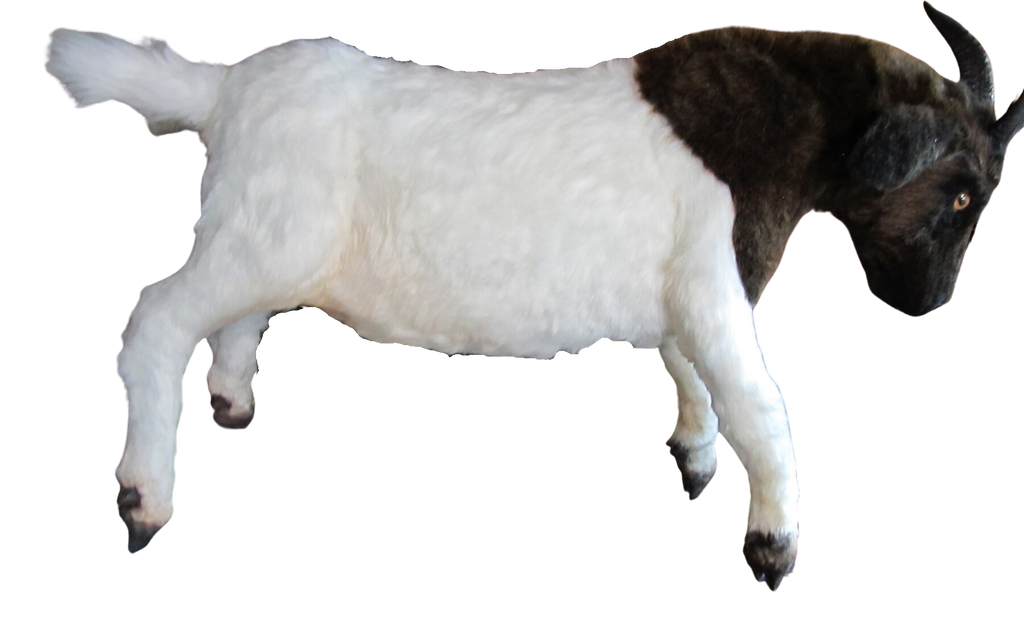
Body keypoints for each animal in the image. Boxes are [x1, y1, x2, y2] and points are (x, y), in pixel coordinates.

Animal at [41, 2, 1021, 592]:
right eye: (962, 195)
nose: (932, 305)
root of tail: (225, 88)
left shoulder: (680, 295)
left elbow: (692, 381)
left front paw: (691, 464)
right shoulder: (716, 282)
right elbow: (757, 406)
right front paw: (774, 548)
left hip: (262, 229)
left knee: (237, 319)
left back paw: (232, 404)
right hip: (262, 236)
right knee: (156, 323)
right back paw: (142, 505)